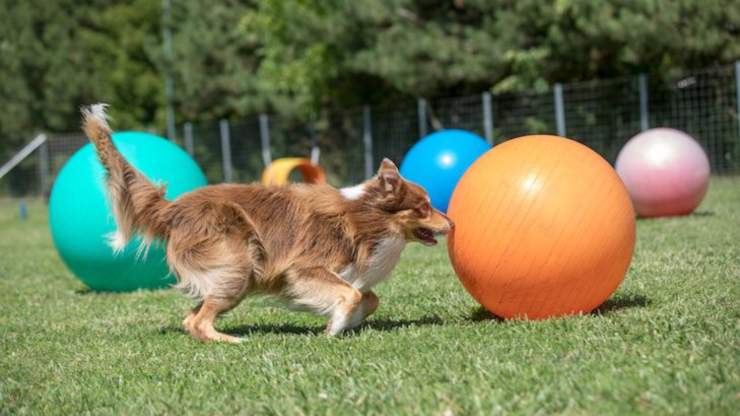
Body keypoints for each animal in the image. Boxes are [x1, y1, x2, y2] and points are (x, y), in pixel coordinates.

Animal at [81, 103, 450, 342]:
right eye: (424, 207)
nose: (453, 223)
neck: (366, 218)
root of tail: (173, 208)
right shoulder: (305, 268)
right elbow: (352, 295)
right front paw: (334, 328)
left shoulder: (348, 273)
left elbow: (368, 298)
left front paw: (344, 323)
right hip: (238, 264)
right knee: (199, 321)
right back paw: (233, 342)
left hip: (230, 273)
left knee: (190, 318)